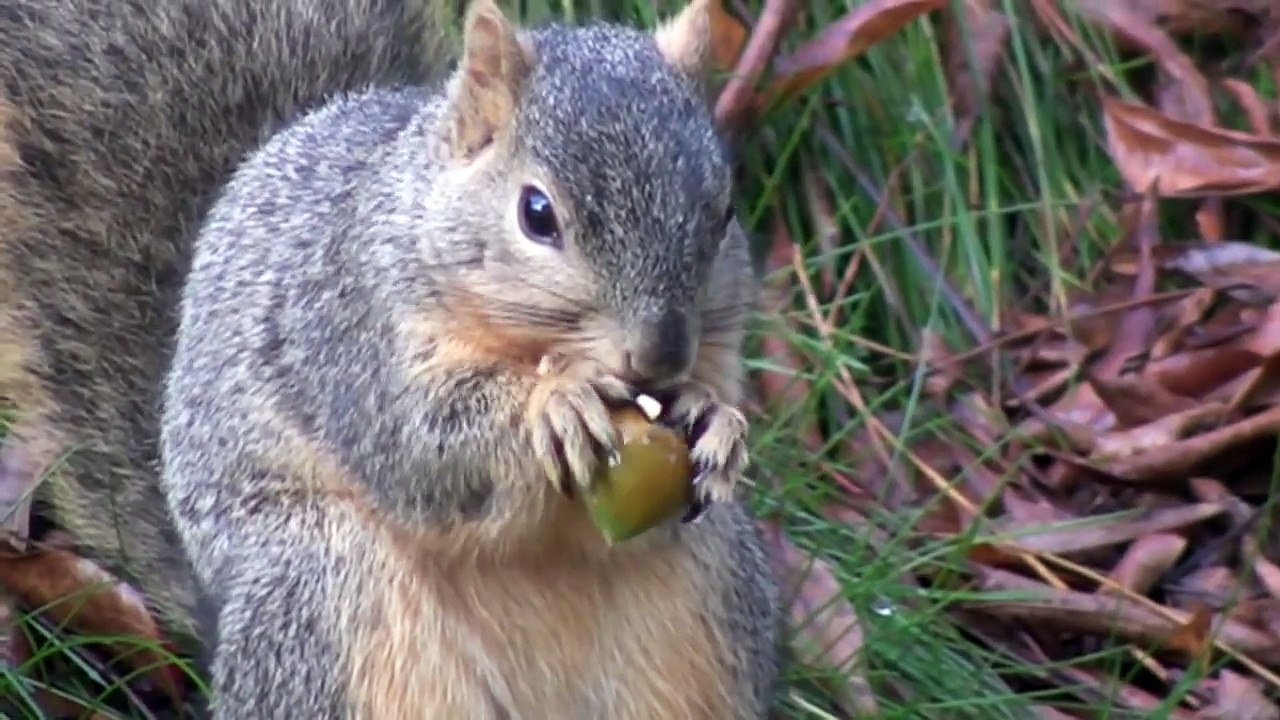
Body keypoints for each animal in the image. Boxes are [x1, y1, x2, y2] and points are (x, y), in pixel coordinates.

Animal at [2, 0, 781, 716]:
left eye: (723, 214)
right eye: (536, 214)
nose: (658, 356)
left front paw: (717, 421)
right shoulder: (346, 326)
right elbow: (416, 443)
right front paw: (553, 403)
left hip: (703, 613)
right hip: (333, 602)